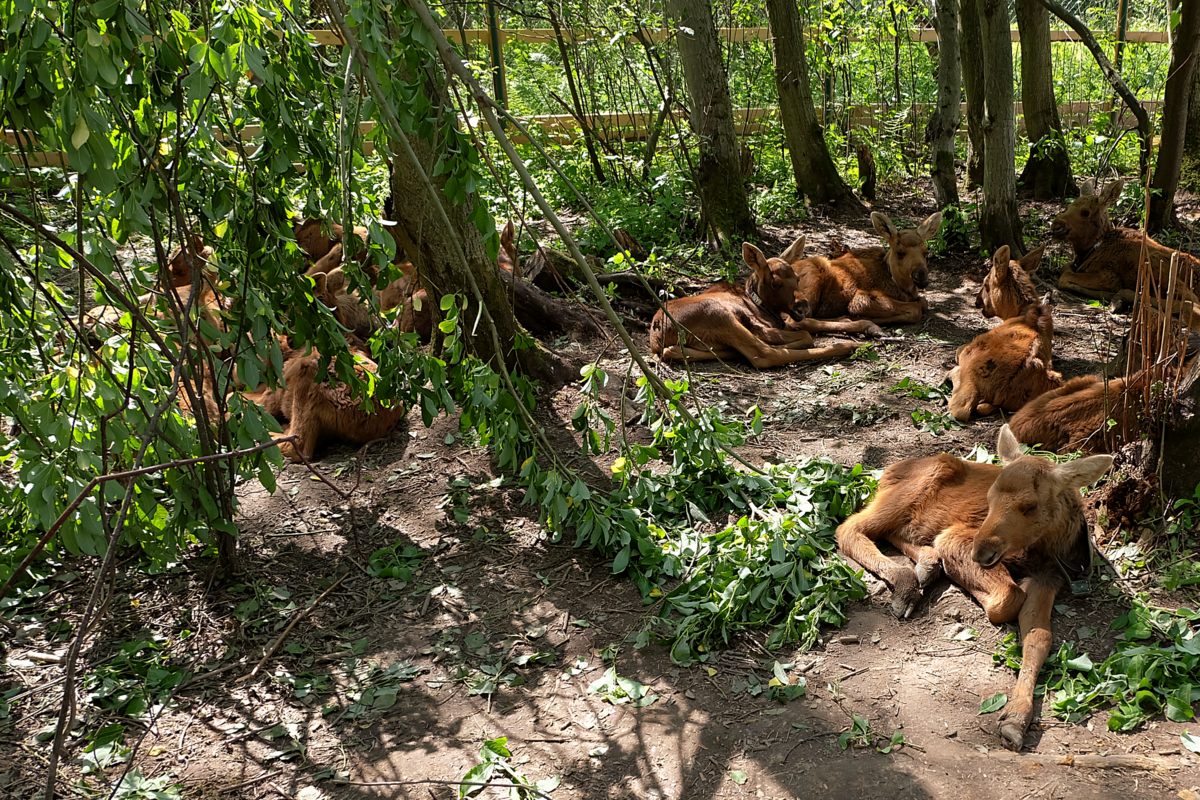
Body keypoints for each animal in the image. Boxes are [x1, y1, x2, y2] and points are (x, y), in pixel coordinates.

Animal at [648, 237, 864, 369]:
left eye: (797, 278)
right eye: (776, 283)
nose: (803, 306)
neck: (762, 307)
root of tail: (657, 337)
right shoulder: (763, 328)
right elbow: (806, 334)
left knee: (673, 351)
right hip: (718, 314)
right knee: (765, 354)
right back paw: (849, 345)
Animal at [792, 212, 940, 328]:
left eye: (926, 252)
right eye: (900, 252)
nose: (921, 277)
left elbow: (923, 302)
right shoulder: (861, 298)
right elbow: (916, 309)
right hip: (811, 281)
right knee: (796, 321)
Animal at [840, 424, 1108, 753]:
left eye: (1030, 506)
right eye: (989, 498)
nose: (981, 552)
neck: (1047, 548)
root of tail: (887, 471)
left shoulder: (1049, 577)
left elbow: (1040, 636)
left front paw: (1015, 720)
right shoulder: (956, 537)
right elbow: (1008, 598)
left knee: (894, 530)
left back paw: (927, 567)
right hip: (907, 494)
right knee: (850, 528)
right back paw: (908, 586)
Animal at [945, 245, 1060, 422]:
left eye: (986, 284)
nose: (977, 301)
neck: (1018, 313)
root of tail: (1002, 389)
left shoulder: (968, 346)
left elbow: (958, 349)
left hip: (970, 372)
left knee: (961, 408)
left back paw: (951, 374)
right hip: (1055, 379)